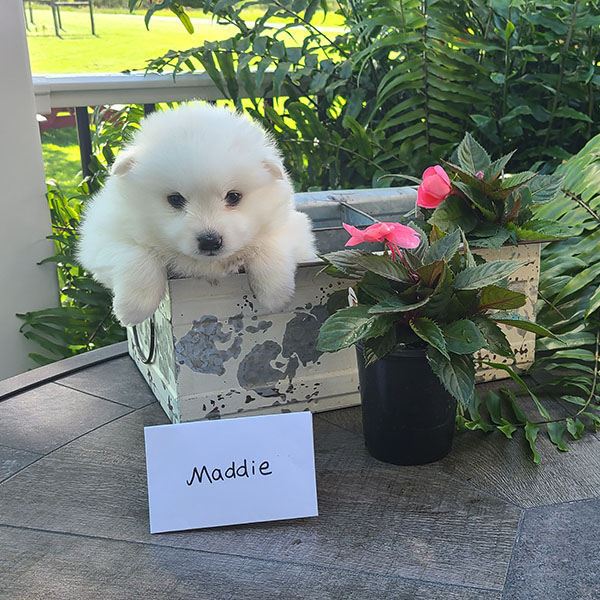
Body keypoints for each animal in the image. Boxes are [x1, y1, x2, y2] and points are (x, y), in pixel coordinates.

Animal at [77, 104, 316, 328]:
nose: (210, 241)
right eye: (175, 199)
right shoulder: (100, 235)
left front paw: (276, 295)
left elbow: (270, 244)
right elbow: (135, 255)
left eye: (233, 196)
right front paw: (134, 308)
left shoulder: (294, 226)